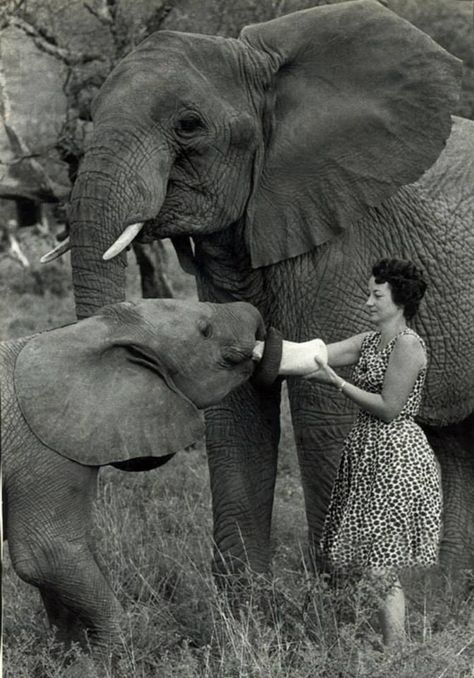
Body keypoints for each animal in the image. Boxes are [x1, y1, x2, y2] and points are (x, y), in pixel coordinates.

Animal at [0, 300, 270, 652]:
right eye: (205, 331)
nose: (258, 315)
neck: (80, 333)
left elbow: (71, 553)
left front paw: (70, 654)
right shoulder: (42, 450)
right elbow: (45, 552)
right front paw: (112, 653)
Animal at [65, 2, 474, 576]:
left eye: (188, 125)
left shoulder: (342, 237)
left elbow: (323, 412)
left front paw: (342, 592)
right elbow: (235, 408)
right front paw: (246, 597)